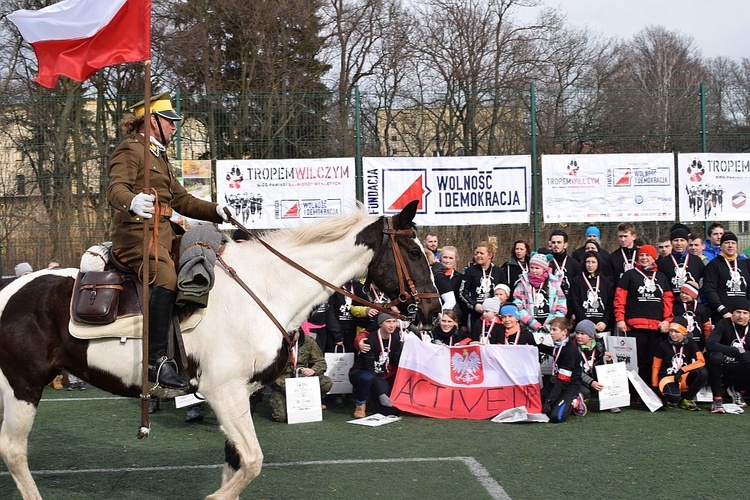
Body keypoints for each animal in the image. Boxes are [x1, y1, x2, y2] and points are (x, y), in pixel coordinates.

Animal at [0, 200, 440, 500]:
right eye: (414, 252)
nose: (434, 310)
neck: (266, 287)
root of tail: (8, 290)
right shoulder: (223, 391)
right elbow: (252, 462)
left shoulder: (241, 392)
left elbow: (237, 463)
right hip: (23, 386)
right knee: (14, 450)